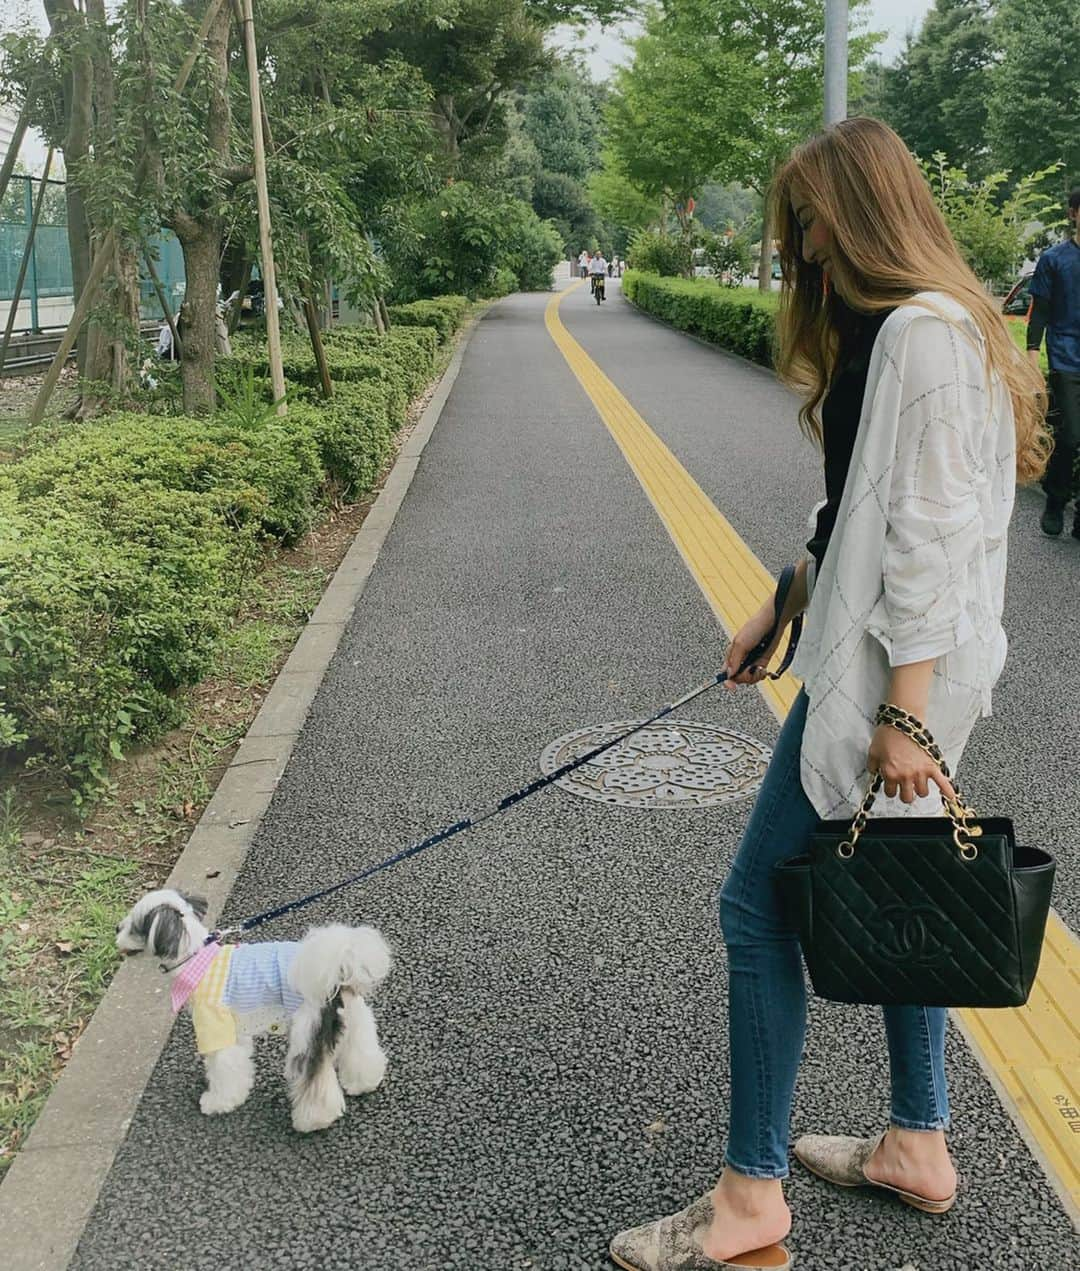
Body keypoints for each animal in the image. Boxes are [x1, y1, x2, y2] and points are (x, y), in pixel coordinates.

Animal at [116, 889, 391, 1138]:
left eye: (134, 926)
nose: (116, 927)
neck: (196, 959)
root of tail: (336, 971)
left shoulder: (215, 1027)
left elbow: (223, 1069)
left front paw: (216, 1102)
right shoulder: (234, 1031)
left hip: (306, 1030)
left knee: (313, 1080)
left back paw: (313, 1120)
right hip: (356, 1018)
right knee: (361, 1051)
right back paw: (362, 1082)